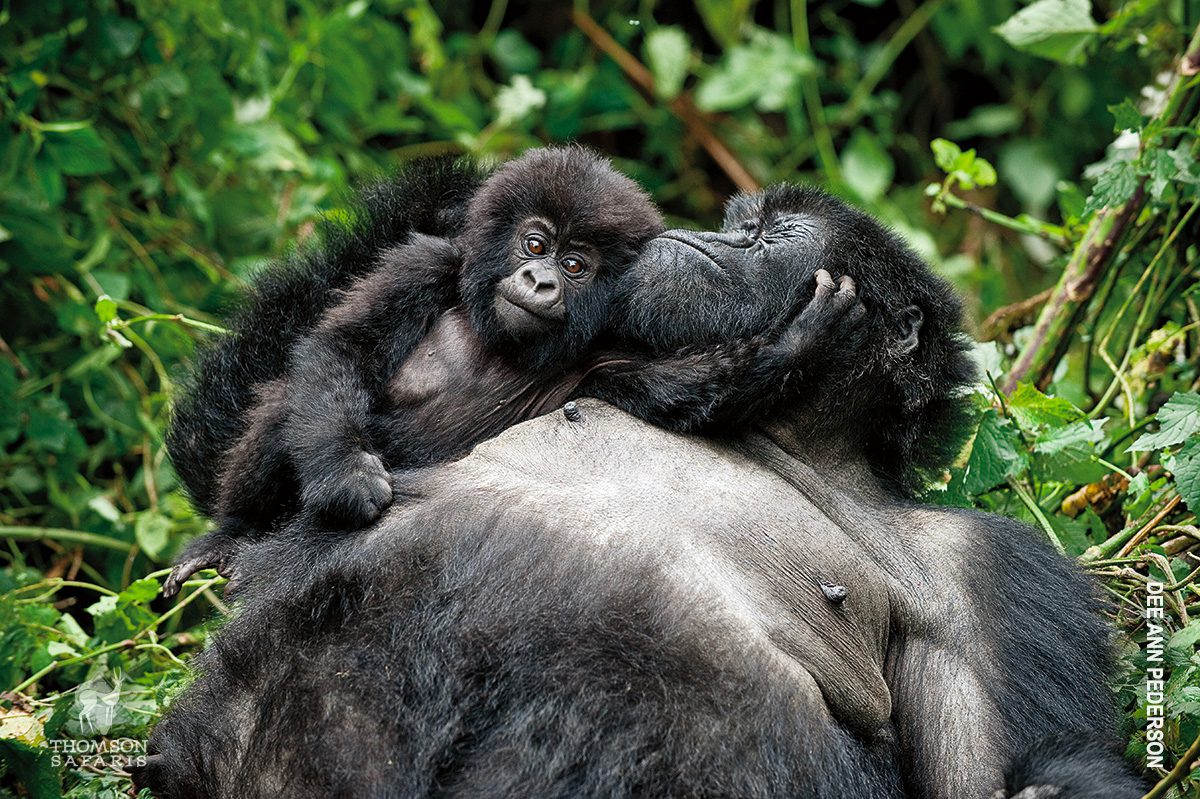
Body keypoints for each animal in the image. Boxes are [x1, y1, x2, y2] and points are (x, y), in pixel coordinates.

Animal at [163, 147, 662, 590]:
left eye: (575, 264)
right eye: (535, 244)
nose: (540, 281)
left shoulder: (603, 346)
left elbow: (667, 391)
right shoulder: (423, 264)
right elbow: (343, 348)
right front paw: (346, 474)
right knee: (287, 402)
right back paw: (233, 532)